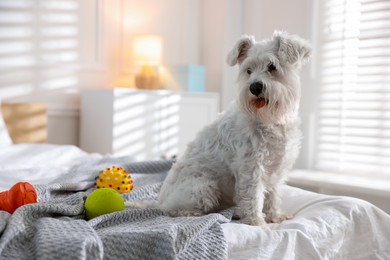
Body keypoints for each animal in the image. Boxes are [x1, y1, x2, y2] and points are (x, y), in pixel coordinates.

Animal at [128, 31, 310, 228]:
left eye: (272, 66)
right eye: (248, 70)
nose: (255, 87)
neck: (271, 120)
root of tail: (160, 200)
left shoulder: (277, 168)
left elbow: (273, 195)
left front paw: (275, 216)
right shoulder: (251, 167)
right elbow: (253, 196)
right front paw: (255, 221)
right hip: (204, 186)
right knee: (174, 210)